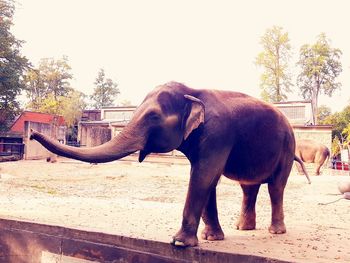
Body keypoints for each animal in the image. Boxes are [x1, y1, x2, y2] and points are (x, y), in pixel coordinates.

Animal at [30, 81, 308, 249]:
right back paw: (243, 228)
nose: (31, 134)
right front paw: (210, 238)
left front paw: (180, 243)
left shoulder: (218, 134)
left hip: (287, 146)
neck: (192, 89)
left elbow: (204, 175)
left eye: (153, 116)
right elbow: (207, 179)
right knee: (248, 187)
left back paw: (276, 232)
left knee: (276, 187)